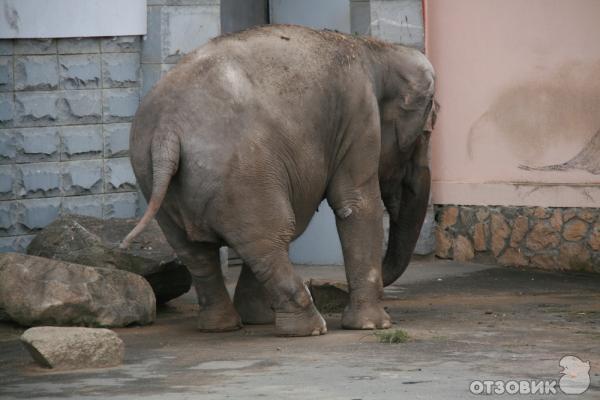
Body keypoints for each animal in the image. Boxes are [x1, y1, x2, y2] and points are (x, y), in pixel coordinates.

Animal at [120, 24, 436, 338]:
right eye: (425, 134)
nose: (334, 288)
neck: (374, 49)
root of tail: (167, 129)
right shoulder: (358, 114)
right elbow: (356, 204)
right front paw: (372, 325)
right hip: (243, 176)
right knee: (270, 236)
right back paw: (311, 328)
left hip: (158, 178)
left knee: (201, 251)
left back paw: (223, 325)